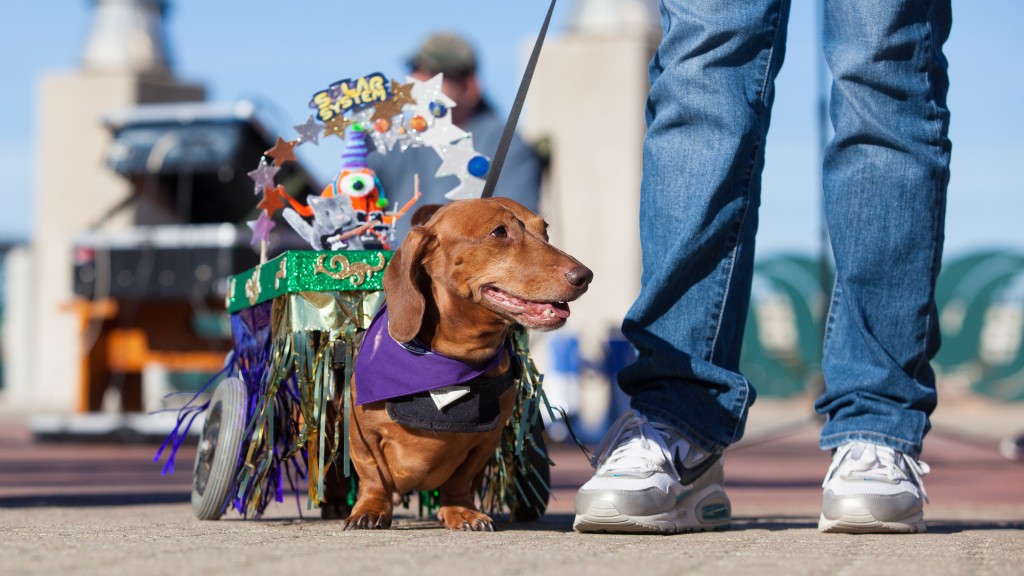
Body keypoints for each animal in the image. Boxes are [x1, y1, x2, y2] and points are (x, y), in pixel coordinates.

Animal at [344, 196, 593, 528]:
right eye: (499, 232)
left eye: (545, 230)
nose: (585, 276)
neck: (450, 363)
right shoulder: (362, 433)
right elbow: (373, 474)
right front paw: (370, 509)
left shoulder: (486, 440)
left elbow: (461, 480)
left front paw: (460, 510)